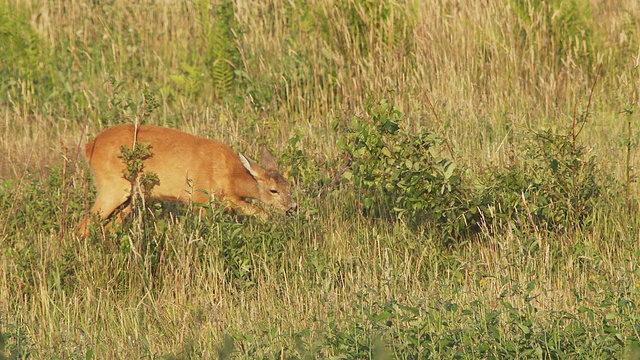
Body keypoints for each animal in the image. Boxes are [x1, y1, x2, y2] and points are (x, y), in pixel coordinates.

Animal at [76, 124, 296, 236]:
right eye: (273, 190)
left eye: (290, 186)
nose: (292, 207)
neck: (230, 175)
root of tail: (88, 147)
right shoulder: (200, 198)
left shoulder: (229, 200)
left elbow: (259, 211)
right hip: (112, 186)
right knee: (83, 226)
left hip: (132, 196)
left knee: (107, 226)